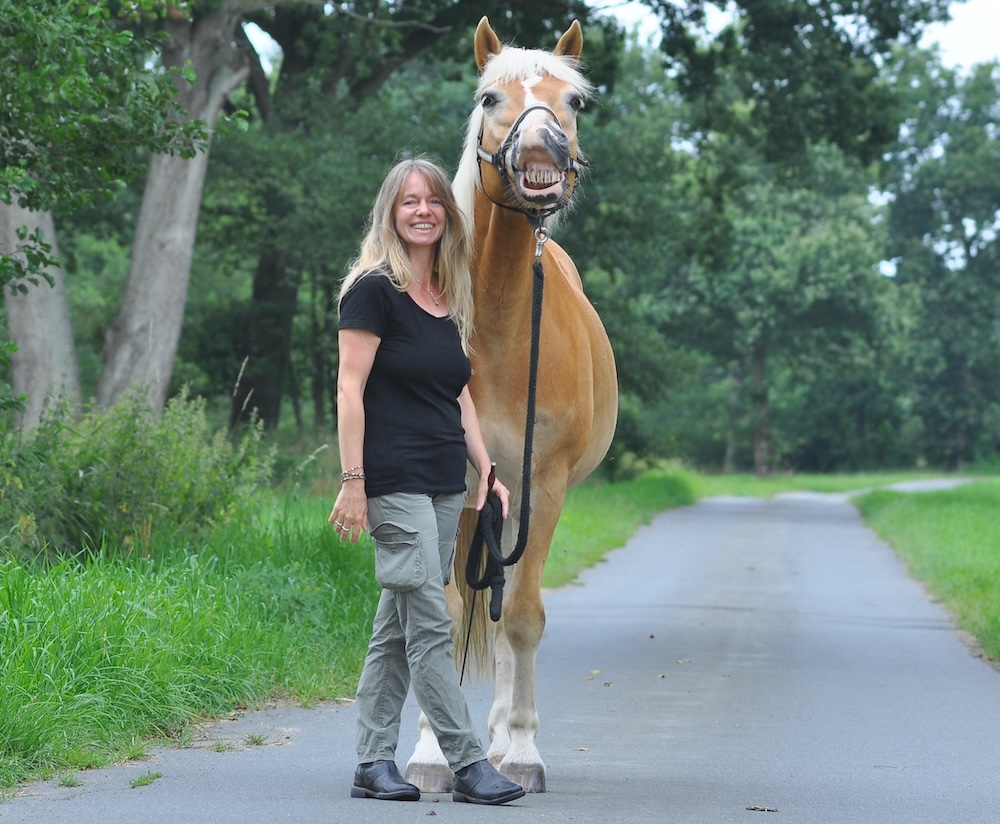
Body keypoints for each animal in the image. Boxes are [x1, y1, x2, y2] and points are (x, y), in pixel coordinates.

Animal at [404, 17, 618, 794]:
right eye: (489, 96)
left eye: (574, 102)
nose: (540, 149)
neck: (495, 328)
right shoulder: (452, 486)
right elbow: (443, 614)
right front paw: (432, 756)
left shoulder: (540, 487)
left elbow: (520, 618)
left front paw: (521, 752)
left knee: (503, 620)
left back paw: (497, 741)